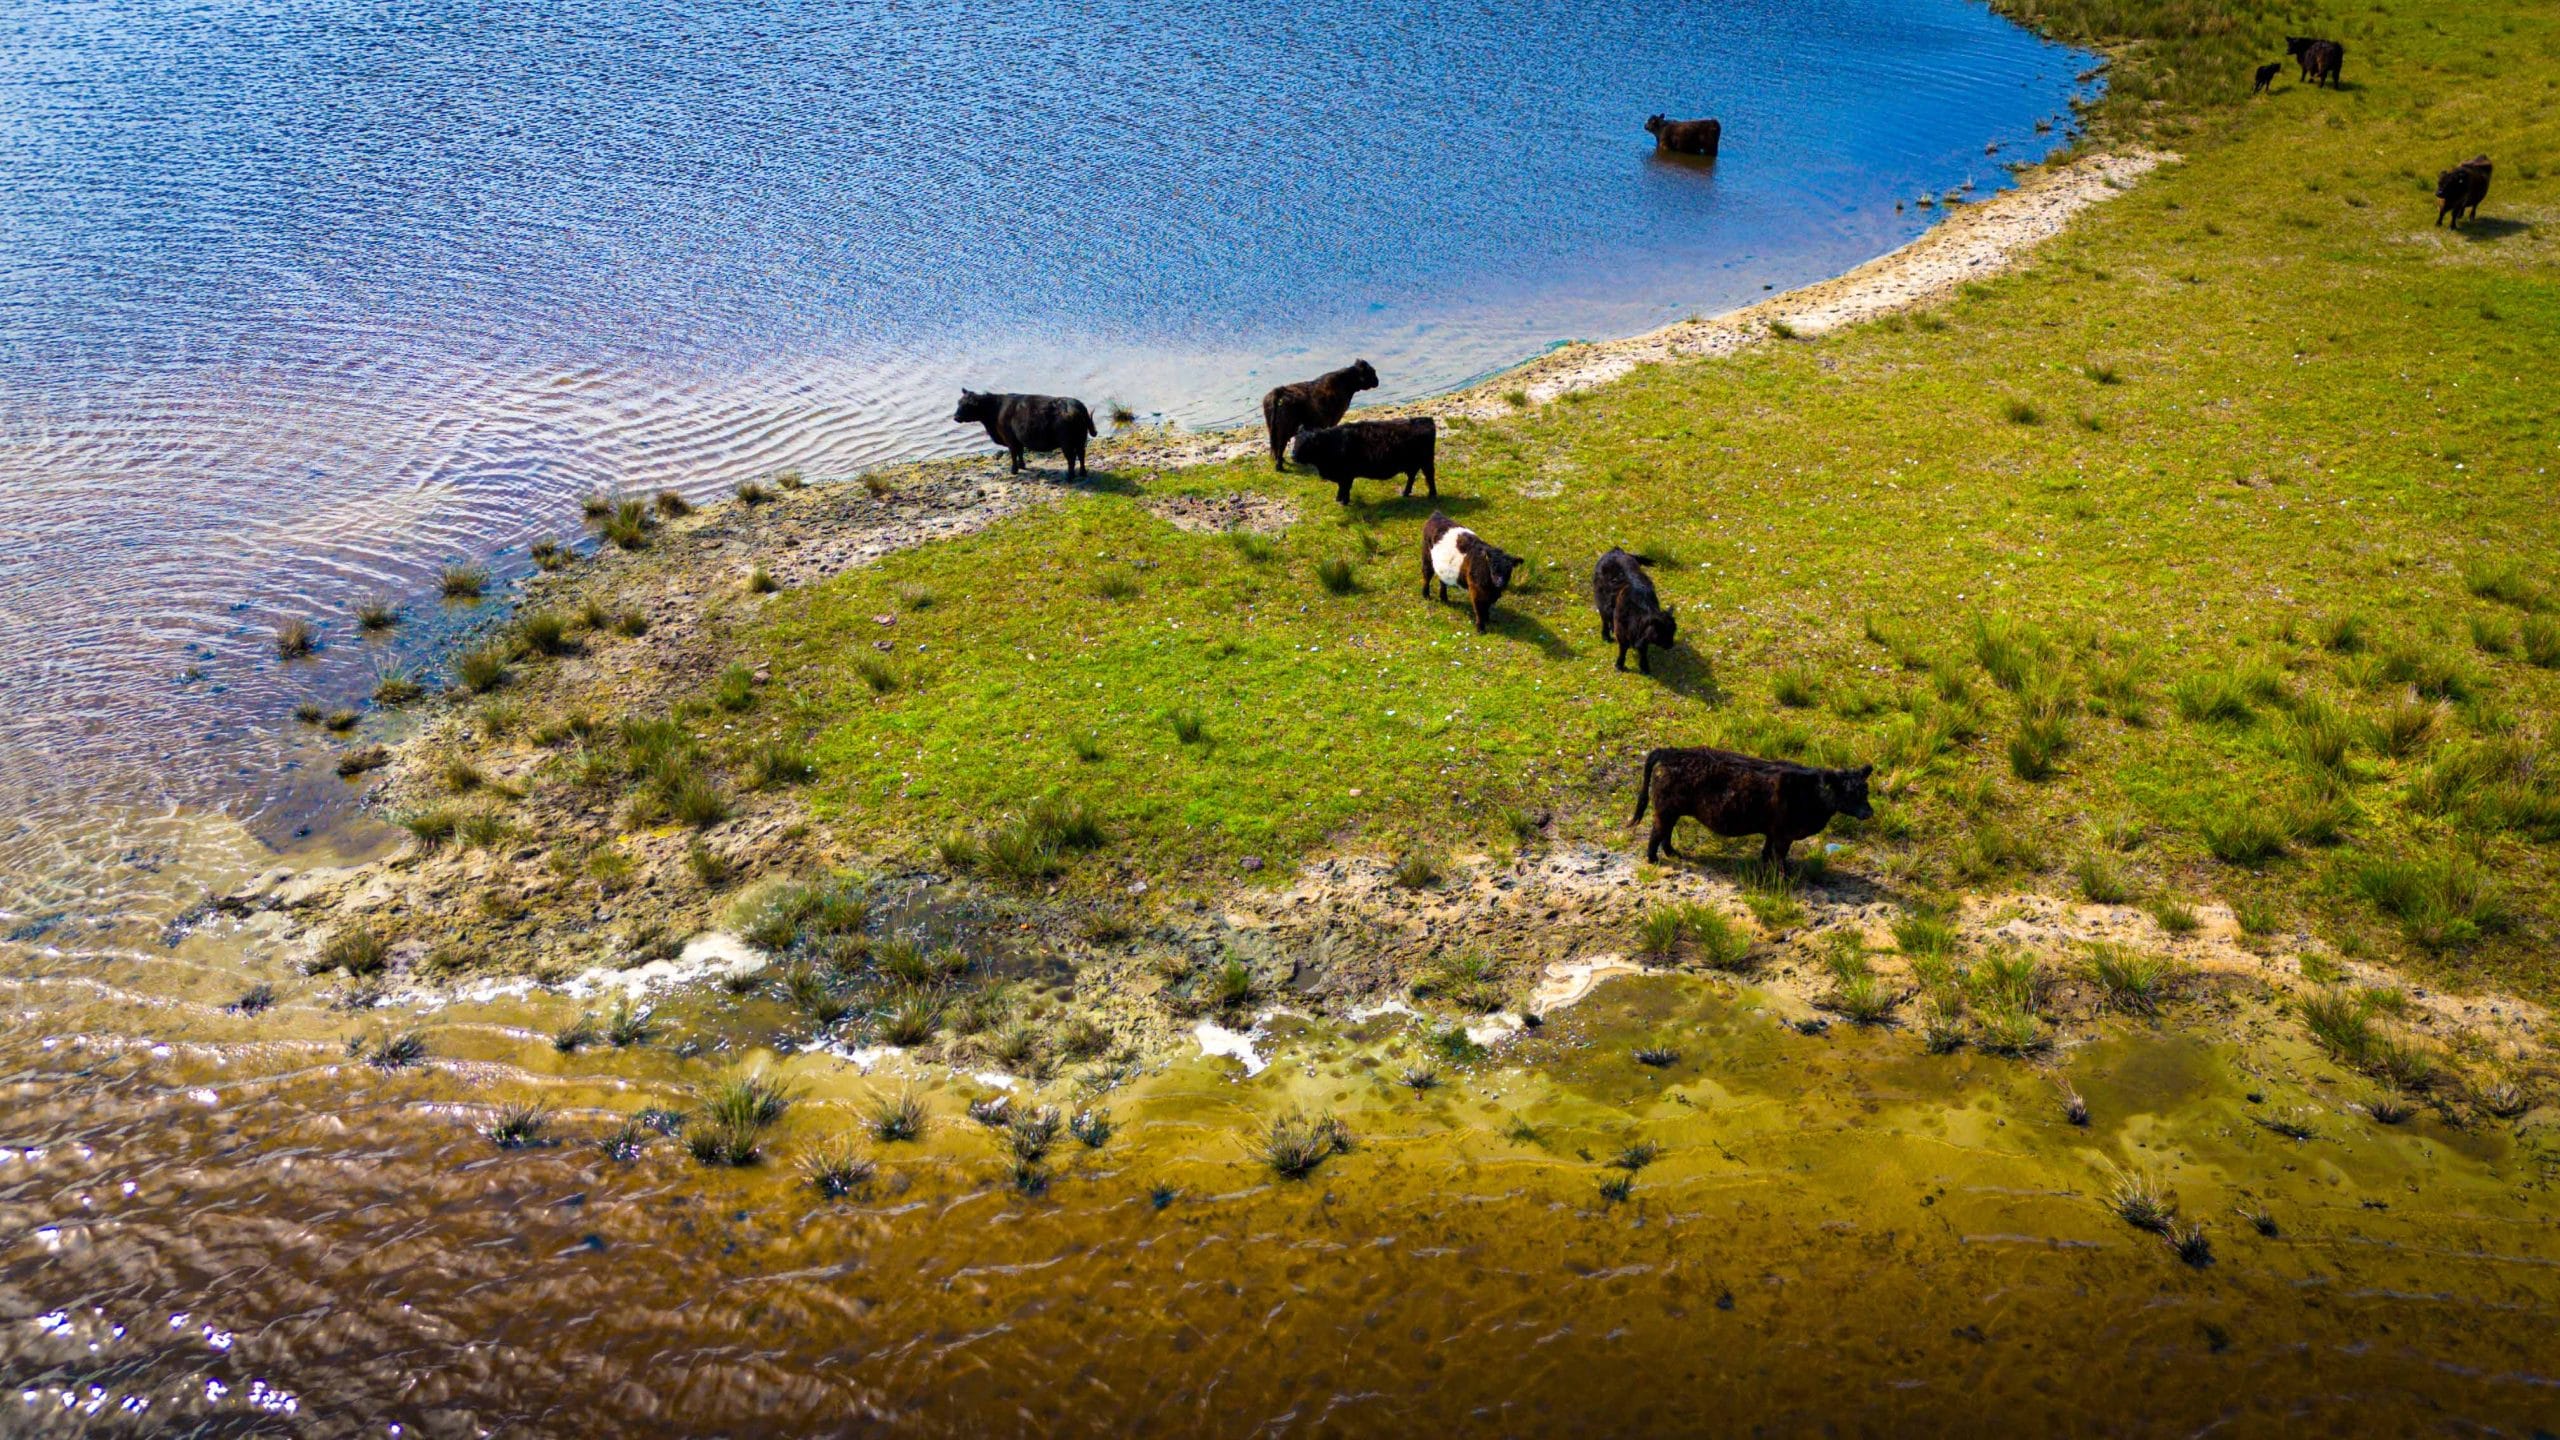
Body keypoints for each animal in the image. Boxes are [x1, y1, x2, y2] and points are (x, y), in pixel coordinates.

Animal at [952, 390, 1096, 480]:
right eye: (958, 402)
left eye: (967, 405)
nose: (955, 417)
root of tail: (1076, 406)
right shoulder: (1018, 439)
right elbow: (1020, 452)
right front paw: (1022, 466)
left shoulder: (1010, 439)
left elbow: (1013, 454)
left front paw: (1014, 470)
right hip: (1081, 439)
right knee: (1081, 454)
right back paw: (1083, 473)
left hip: (1067, 443)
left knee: (1071, 458)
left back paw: (1069, 477)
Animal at [1288, 417, 1437, 505]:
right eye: (1295, 440)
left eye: (1307, 444)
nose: (1293, 456)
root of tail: (1425, 420)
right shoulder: (1342, 476)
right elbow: (1341, 488)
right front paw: (1338, 499)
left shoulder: (1346, 475)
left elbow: (1345, 488)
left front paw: (1343, 502)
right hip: (1413, 463)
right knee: (1412, 476)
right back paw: (1405, 493)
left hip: (1426, 462)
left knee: (1429, 476)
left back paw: (1432, 495)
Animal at [1632, 746, 1874, 872]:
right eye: (1850, 794)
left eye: (1865, 791)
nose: (1870, 813)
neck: (1811, 792)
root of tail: (1671, 751)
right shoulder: (1785, 834)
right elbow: (1780, 855)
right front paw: (1784, 874)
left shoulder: (1774, 830)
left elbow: (1768, 847)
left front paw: (1765, 861)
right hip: (1664, 809)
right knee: (1657, 832)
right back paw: (1653, 859)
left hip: (1671, 810)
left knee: (1666, 832)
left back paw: (1672, 852)